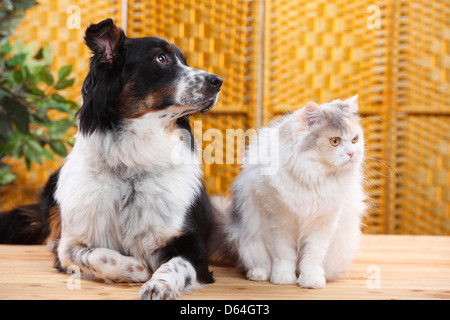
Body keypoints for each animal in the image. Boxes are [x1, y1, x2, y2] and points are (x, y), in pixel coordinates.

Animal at [0, 18, 223, 300]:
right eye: (161, 58)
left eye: (184, 60)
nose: (219, 81)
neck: (132, 167)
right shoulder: (70, 245)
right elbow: (96, 255)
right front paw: (138, 268)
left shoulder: (191, 245)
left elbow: (173, 265)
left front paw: (158, 285)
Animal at [221, 96, 366, 288]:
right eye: (335, 141)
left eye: (355, 139)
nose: (351, 154)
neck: (313, 176)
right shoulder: (278, 221)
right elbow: (283, 255)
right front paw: (283, 278)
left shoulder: (323, 225)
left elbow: (313, 256)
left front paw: (311, 280)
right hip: (248, 240)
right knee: (257, 262)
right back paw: (258, 274)